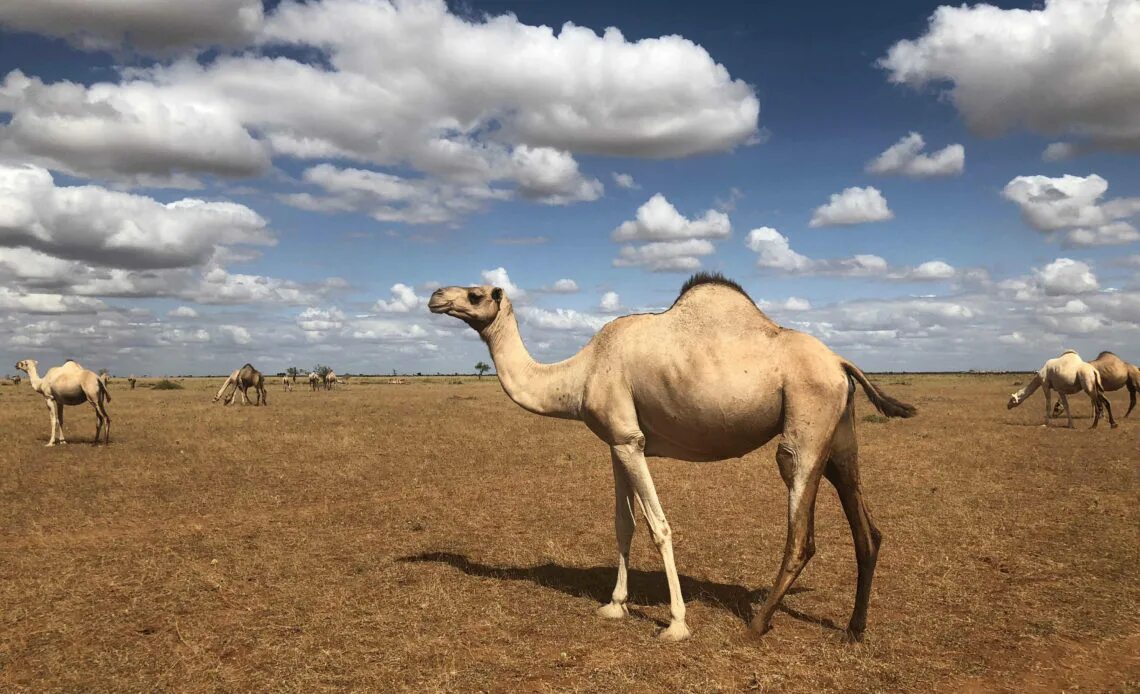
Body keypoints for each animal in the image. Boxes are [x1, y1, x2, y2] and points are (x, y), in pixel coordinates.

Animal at [428, 273, 916, 642]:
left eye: (475, 294)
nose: (435, 296)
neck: (579, 375)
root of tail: (842, 362)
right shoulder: (617, 441)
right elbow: (623, 524)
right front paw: (614, 605)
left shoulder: (629, 440)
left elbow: (658, 527)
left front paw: (676, 624)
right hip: (840, 433)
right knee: (865, 527)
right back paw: (854, 629)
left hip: (806, 425)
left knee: (801, 530)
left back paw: (758, 623)